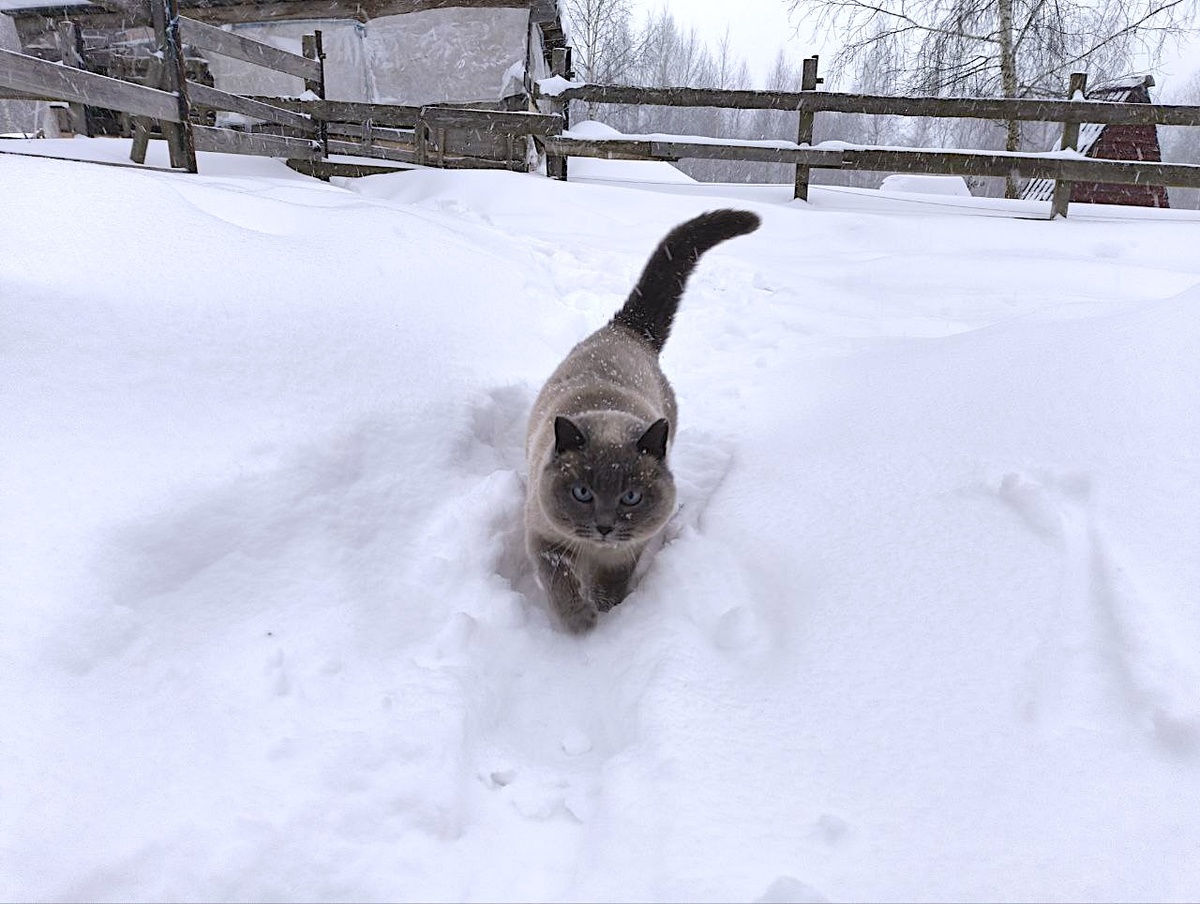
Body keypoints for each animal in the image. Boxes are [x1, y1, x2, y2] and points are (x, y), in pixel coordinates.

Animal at [524, 208, 761, 633]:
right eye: (582, 493)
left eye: (630, 497)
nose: (604, 526)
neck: (593, 550)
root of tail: (626, 330)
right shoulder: (546, 541)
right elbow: (561, 584)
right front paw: (581, 624)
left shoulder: (625, 554)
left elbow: (610, 587)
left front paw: (606, 614)